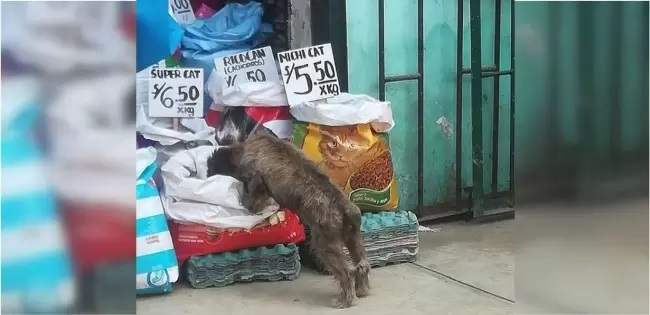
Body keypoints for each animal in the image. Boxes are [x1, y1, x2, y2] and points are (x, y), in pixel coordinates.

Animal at [208, 125, 370, 308]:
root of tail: (345, 207)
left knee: (347, 272)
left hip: (325, 245)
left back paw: (345, 300)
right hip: (353, 239)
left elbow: (253, 197)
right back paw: (361, 290)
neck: (244, 148)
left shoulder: (256, 182)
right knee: (363, 265)